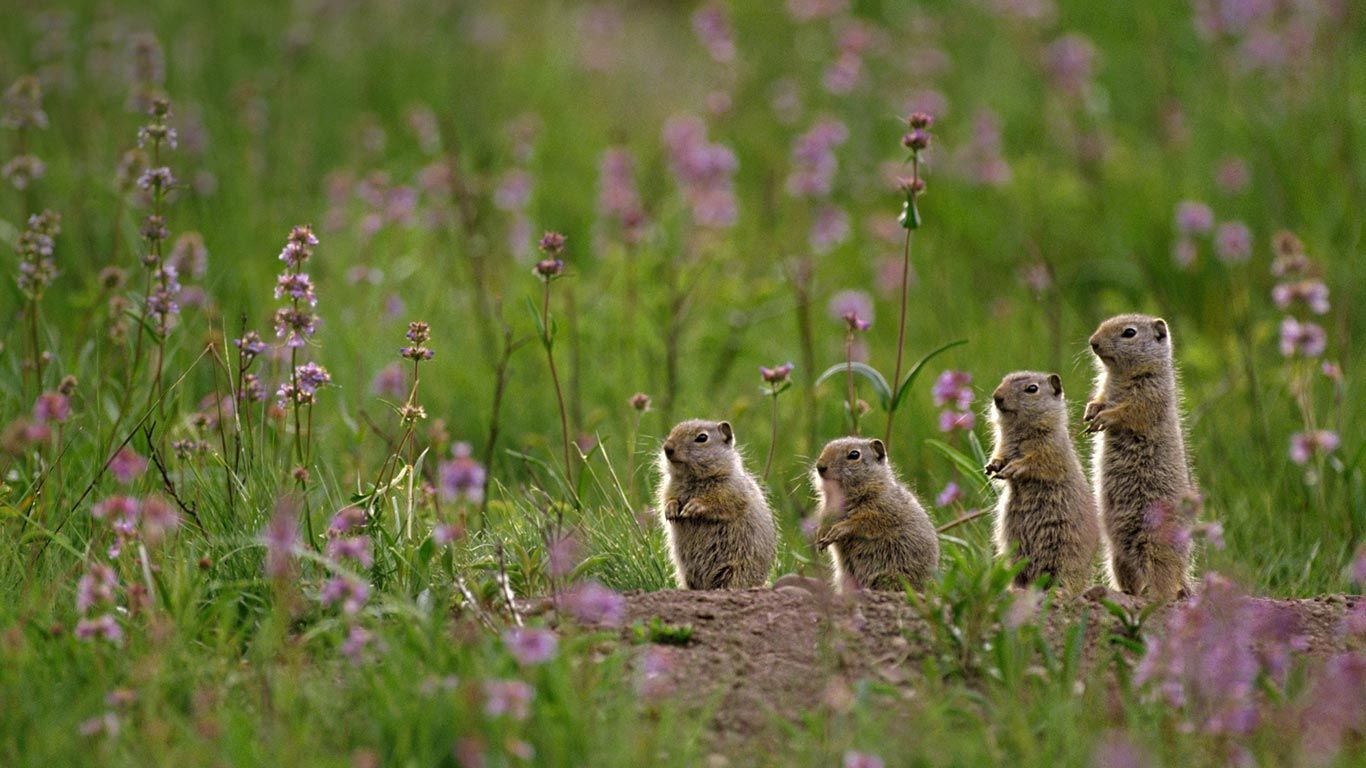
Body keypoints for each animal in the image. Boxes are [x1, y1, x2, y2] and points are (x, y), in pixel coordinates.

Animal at [656, 419, 777, 589]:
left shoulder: (731, 489)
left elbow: (720, 503)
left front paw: (694, 507)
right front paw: (671, 509)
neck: (694, 479)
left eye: (702, 437)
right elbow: (666, 499)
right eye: (672, 431)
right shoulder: (668, 487)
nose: (667, 448)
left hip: (736, 570)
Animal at [812, 437, 939, 591]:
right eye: (825, 447)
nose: (820, 466)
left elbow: (862, 522)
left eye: (854, 455)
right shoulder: (828, 509)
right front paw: (820, 536)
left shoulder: (881, 509)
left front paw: (839, 530)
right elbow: (826, 520)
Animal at [985, 371, 1101, 595]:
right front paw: (992, 466)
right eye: (1003, 380)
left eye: (1032, 389)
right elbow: (1000, 455)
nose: (996, 396)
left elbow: (1037, 462)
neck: (1020, 431)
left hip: (1065, 555)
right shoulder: (1003, 445)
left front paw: (1013, 468)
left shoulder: (1050, 448)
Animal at [1084, 314, 1196, 600]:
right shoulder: (1105, 388)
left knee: (1165, 584)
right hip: (1117, 557)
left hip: (1157, 548)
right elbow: (1100, 398)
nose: (1093, 342)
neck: (1119, 375)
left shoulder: (1150, 392)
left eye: (1129, 333)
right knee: (1130, 580)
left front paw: (1104, 417)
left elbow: (1130, 410)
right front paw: (1091, 412)